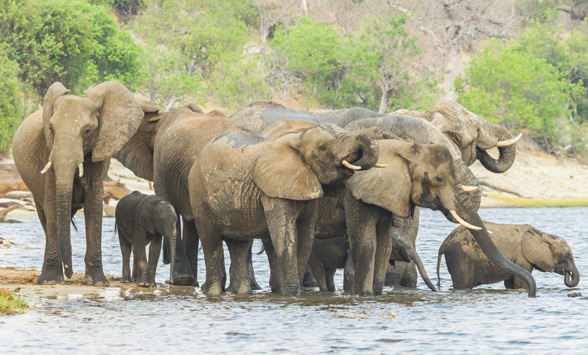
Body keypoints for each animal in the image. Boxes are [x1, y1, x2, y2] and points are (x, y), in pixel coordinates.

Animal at [12, 81, 144, 286]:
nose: (70, 274)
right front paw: (50, 281)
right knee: (45, 215)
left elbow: (93, 205)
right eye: (51, 129)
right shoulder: (48, 149)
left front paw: (97, 282)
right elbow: (52, 203)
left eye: (87, 131)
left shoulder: (100, 150)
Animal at [188, 121, 382, 296]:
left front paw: (292, 293)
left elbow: (305, 237)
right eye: (323, 147)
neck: (298, 138)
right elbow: (285, 236)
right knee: (210, 239)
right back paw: (213, 292)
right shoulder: (275, 190)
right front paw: (290, 293)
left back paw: (243, 293)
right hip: (199, 195)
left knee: (239, 245)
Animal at [436, 222, 580, 292]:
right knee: (463, 284)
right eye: (567, 256)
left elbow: (511, 284)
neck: (541, 234)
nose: (568, 273)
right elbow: (522, 284)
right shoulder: (522, 258)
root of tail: (444, 243)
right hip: (461, 256)